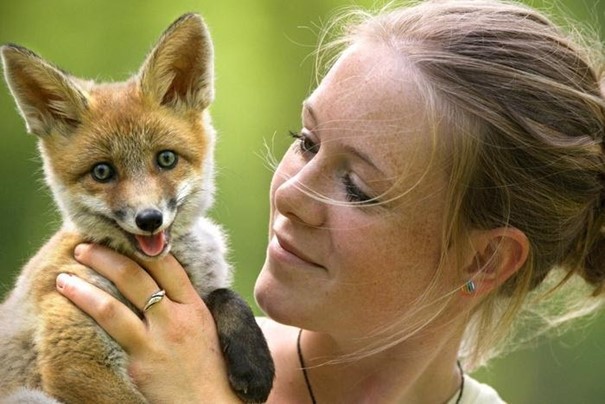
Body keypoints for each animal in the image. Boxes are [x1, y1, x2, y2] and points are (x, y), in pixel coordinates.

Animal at [0, 12, 272, 404]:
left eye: (166, 159)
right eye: (102, 172)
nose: (149, 219)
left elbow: (229, 296)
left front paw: (254, 364)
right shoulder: (75, 352)